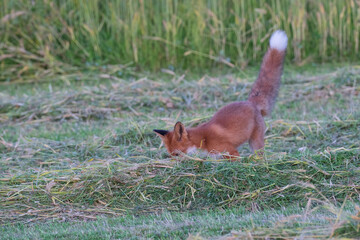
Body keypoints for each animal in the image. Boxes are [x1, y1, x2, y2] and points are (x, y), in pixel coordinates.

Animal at [153, 30, 288, 159]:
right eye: (170, 154)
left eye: (177, 154)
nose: (175, 164)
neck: (203, 140)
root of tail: (250, 102)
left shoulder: (231, 152)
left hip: (255, 143)